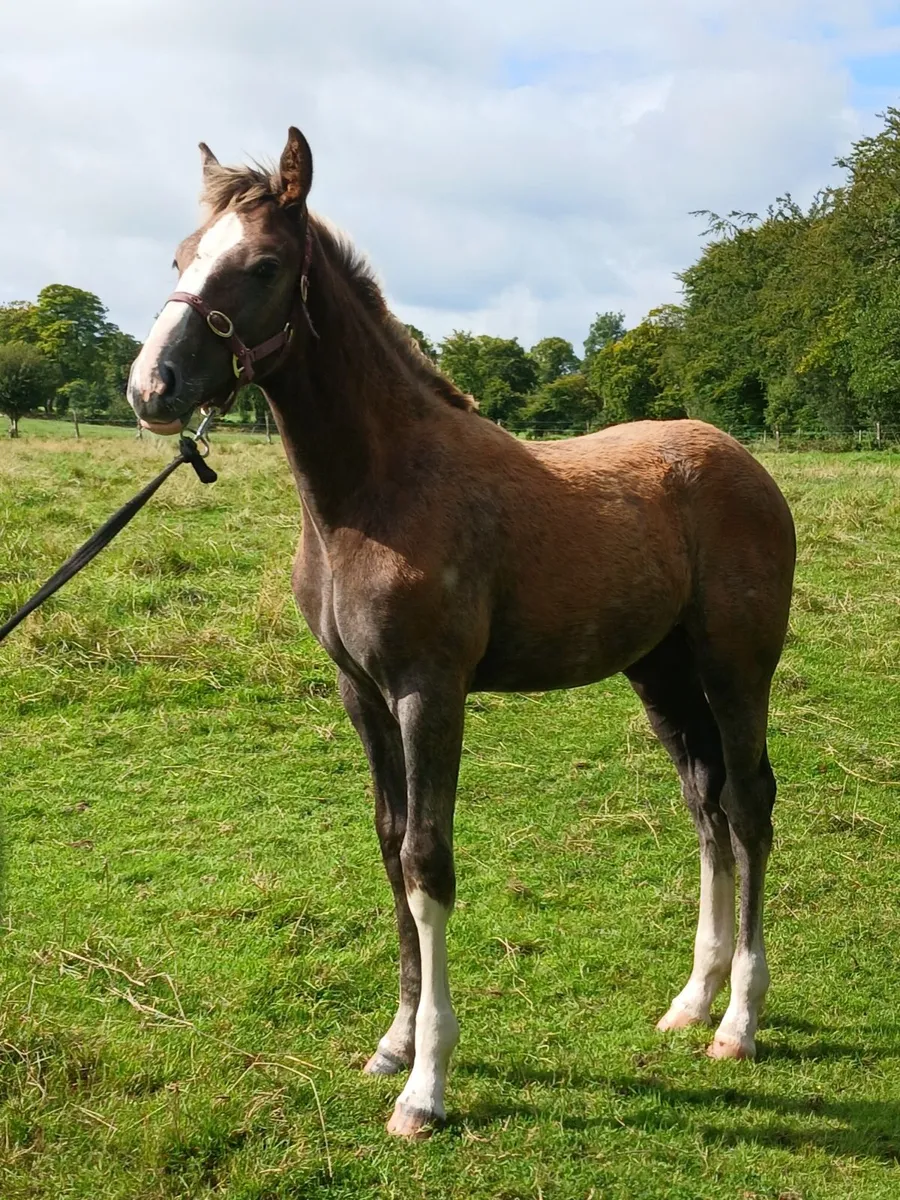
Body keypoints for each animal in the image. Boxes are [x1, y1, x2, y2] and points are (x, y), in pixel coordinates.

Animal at [127, 127, 796, 1139]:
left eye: (265, 266)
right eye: (179, 259)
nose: (150, 388)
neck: (375, 491)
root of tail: (745, 462)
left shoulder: (428, 690)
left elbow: (426, 860)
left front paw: (427, 1086)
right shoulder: (361, 694)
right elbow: (387, 842)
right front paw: (394, 1043)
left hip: (735, 667)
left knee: (751, 806)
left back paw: (740, 1023)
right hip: (662, 675)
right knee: (707, 804)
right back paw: (692, 1000)